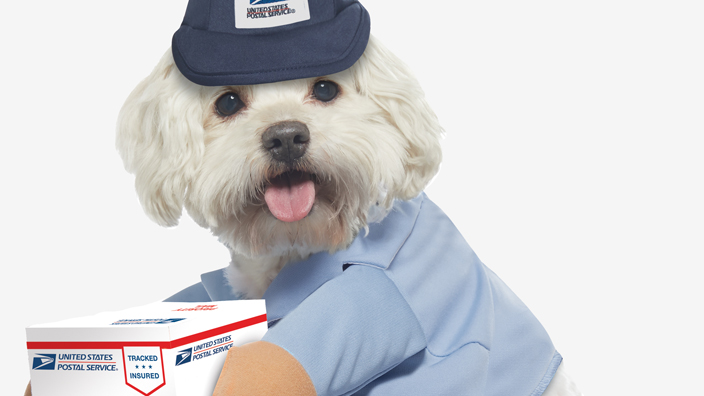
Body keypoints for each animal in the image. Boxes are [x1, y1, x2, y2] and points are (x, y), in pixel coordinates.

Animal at [114, 36, 576, 396]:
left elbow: (261, 368)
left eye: (325, 89)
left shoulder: (369, 303)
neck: (300, 245)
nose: (286, 137)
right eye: (227, 102)